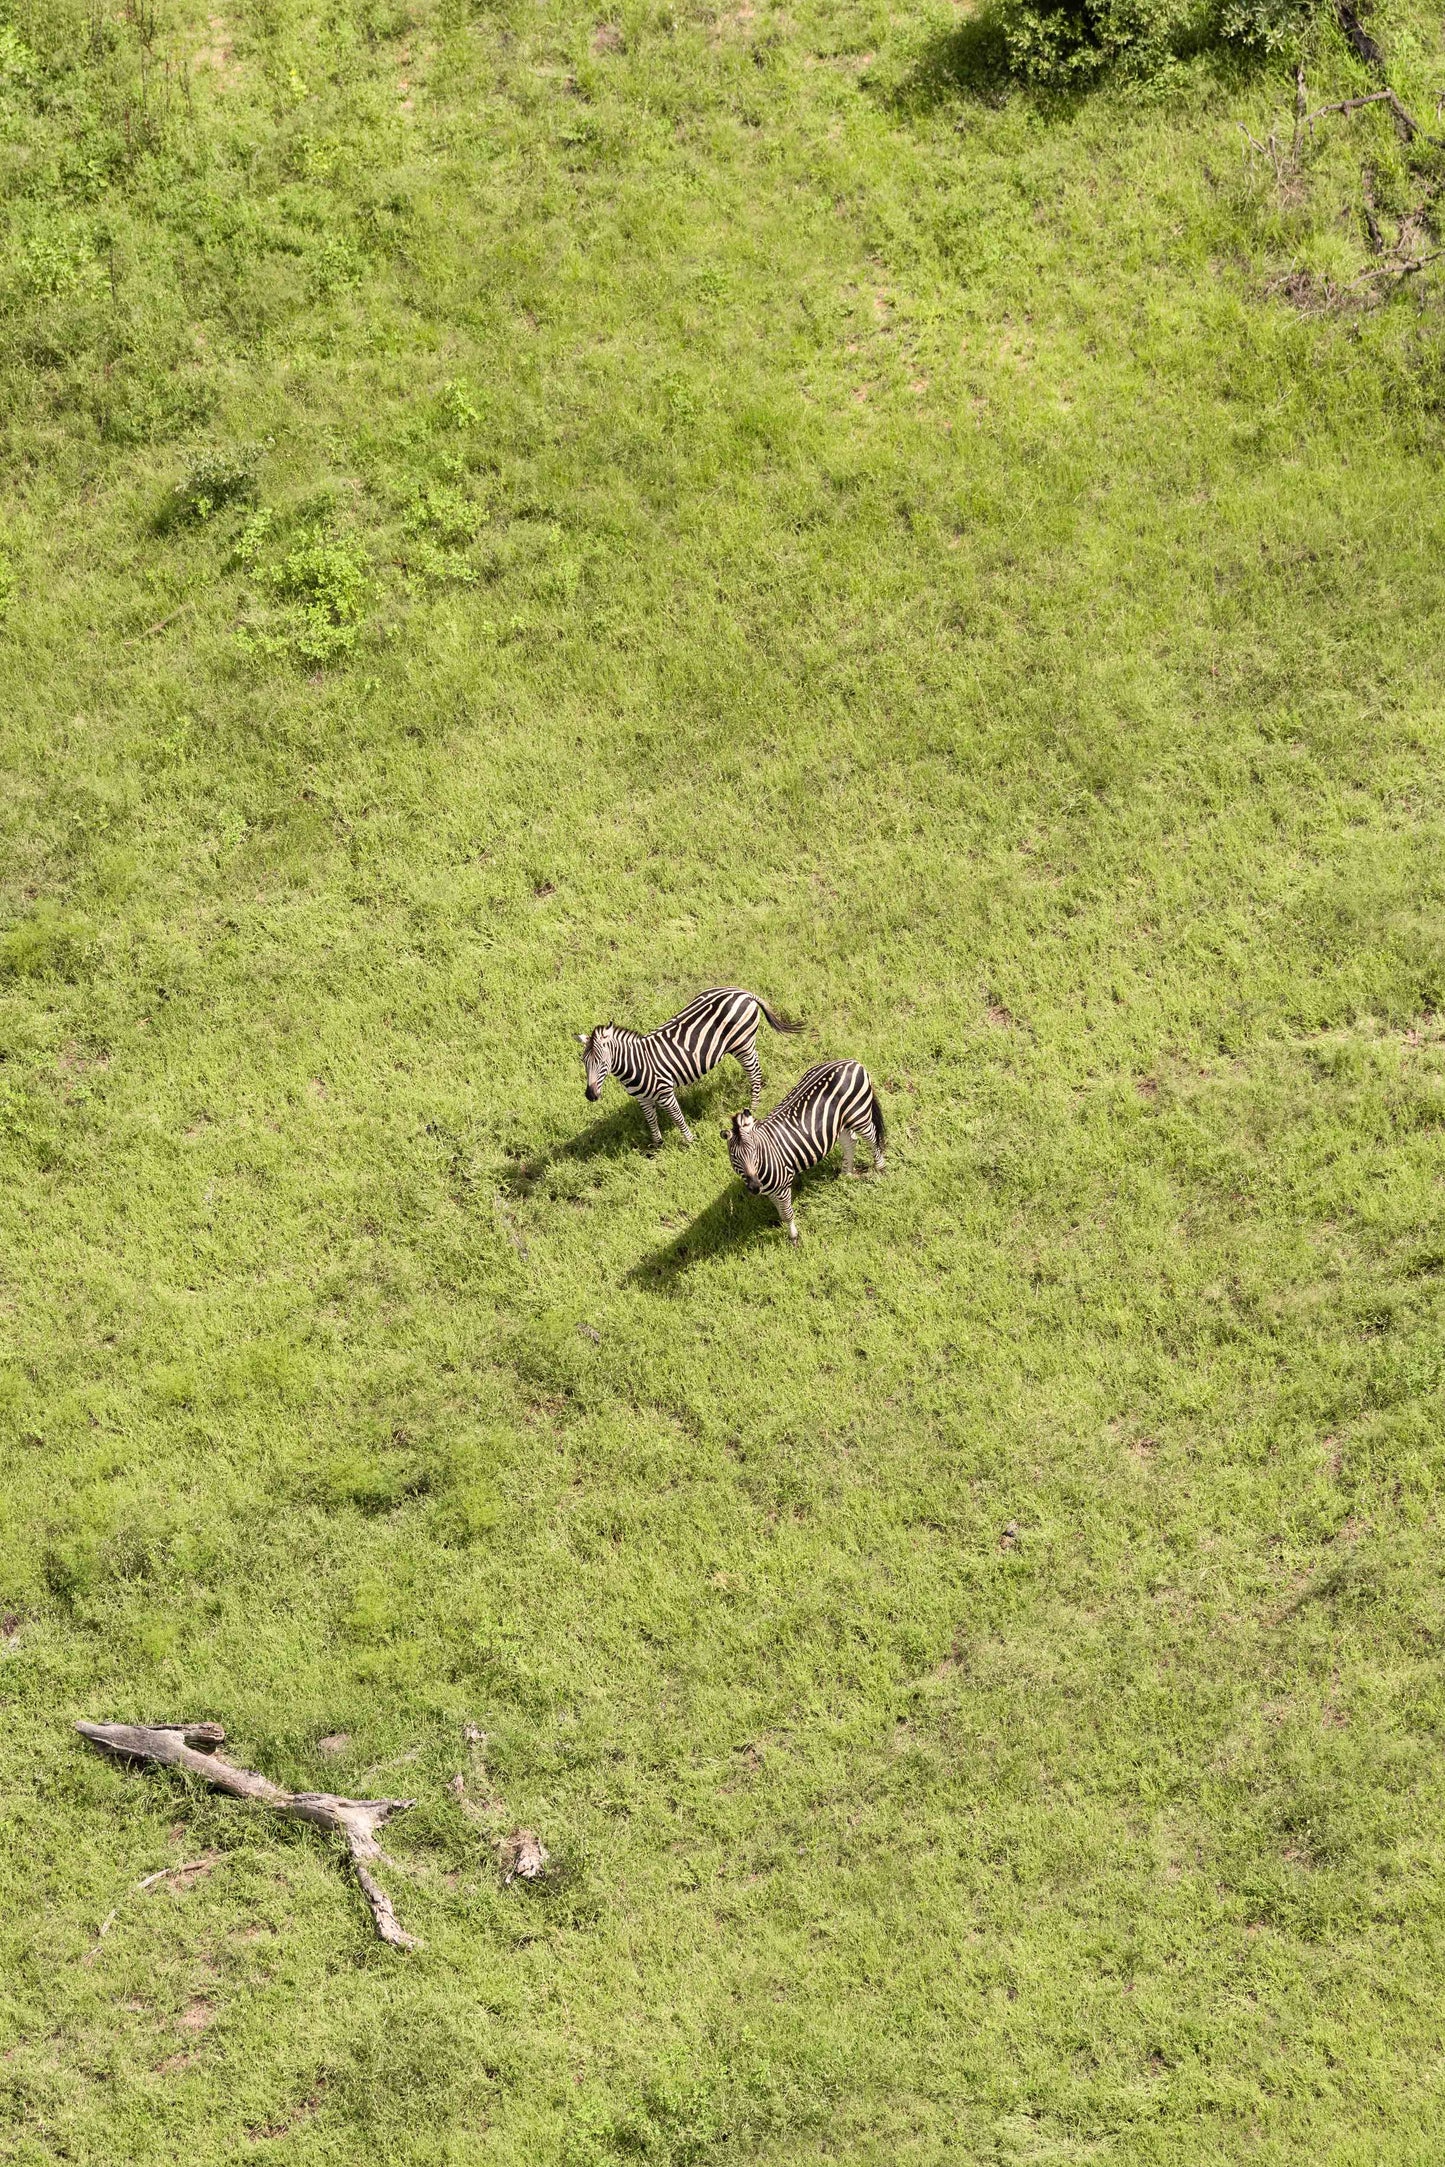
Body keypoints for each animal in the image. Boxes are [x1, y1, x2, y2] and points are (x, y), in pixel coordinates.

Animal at [578, 987, 802, 1150]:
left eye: (603, 1063)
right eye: (583, 1062)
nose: (590, 1095)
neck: (635, 1065)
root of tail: (743, 992)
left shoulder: (665, 1093)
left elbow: (677, 1118)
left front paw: (690, 1141)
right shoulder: (642, 1098)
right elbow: (651, 1120)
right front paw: (657, 1147)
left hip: (742, 1043)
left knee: (755, 1073)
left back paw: (753, 1106)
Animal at [723, 1058, 885, 1241]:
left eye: (755, 1152)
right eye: (734, 1158)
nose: (754, 1187)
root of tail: (851, 1062)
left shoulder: (783, 1187)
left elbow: (787, 1214)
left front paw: (794, 1237)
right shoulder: (771, 1191)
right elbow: (781, 1212)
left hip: (859, 1115)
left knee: (872, 1138)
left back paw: (880, 1168)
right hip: (839, 1123)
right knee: (850, 1142)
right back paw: (846, 1174)